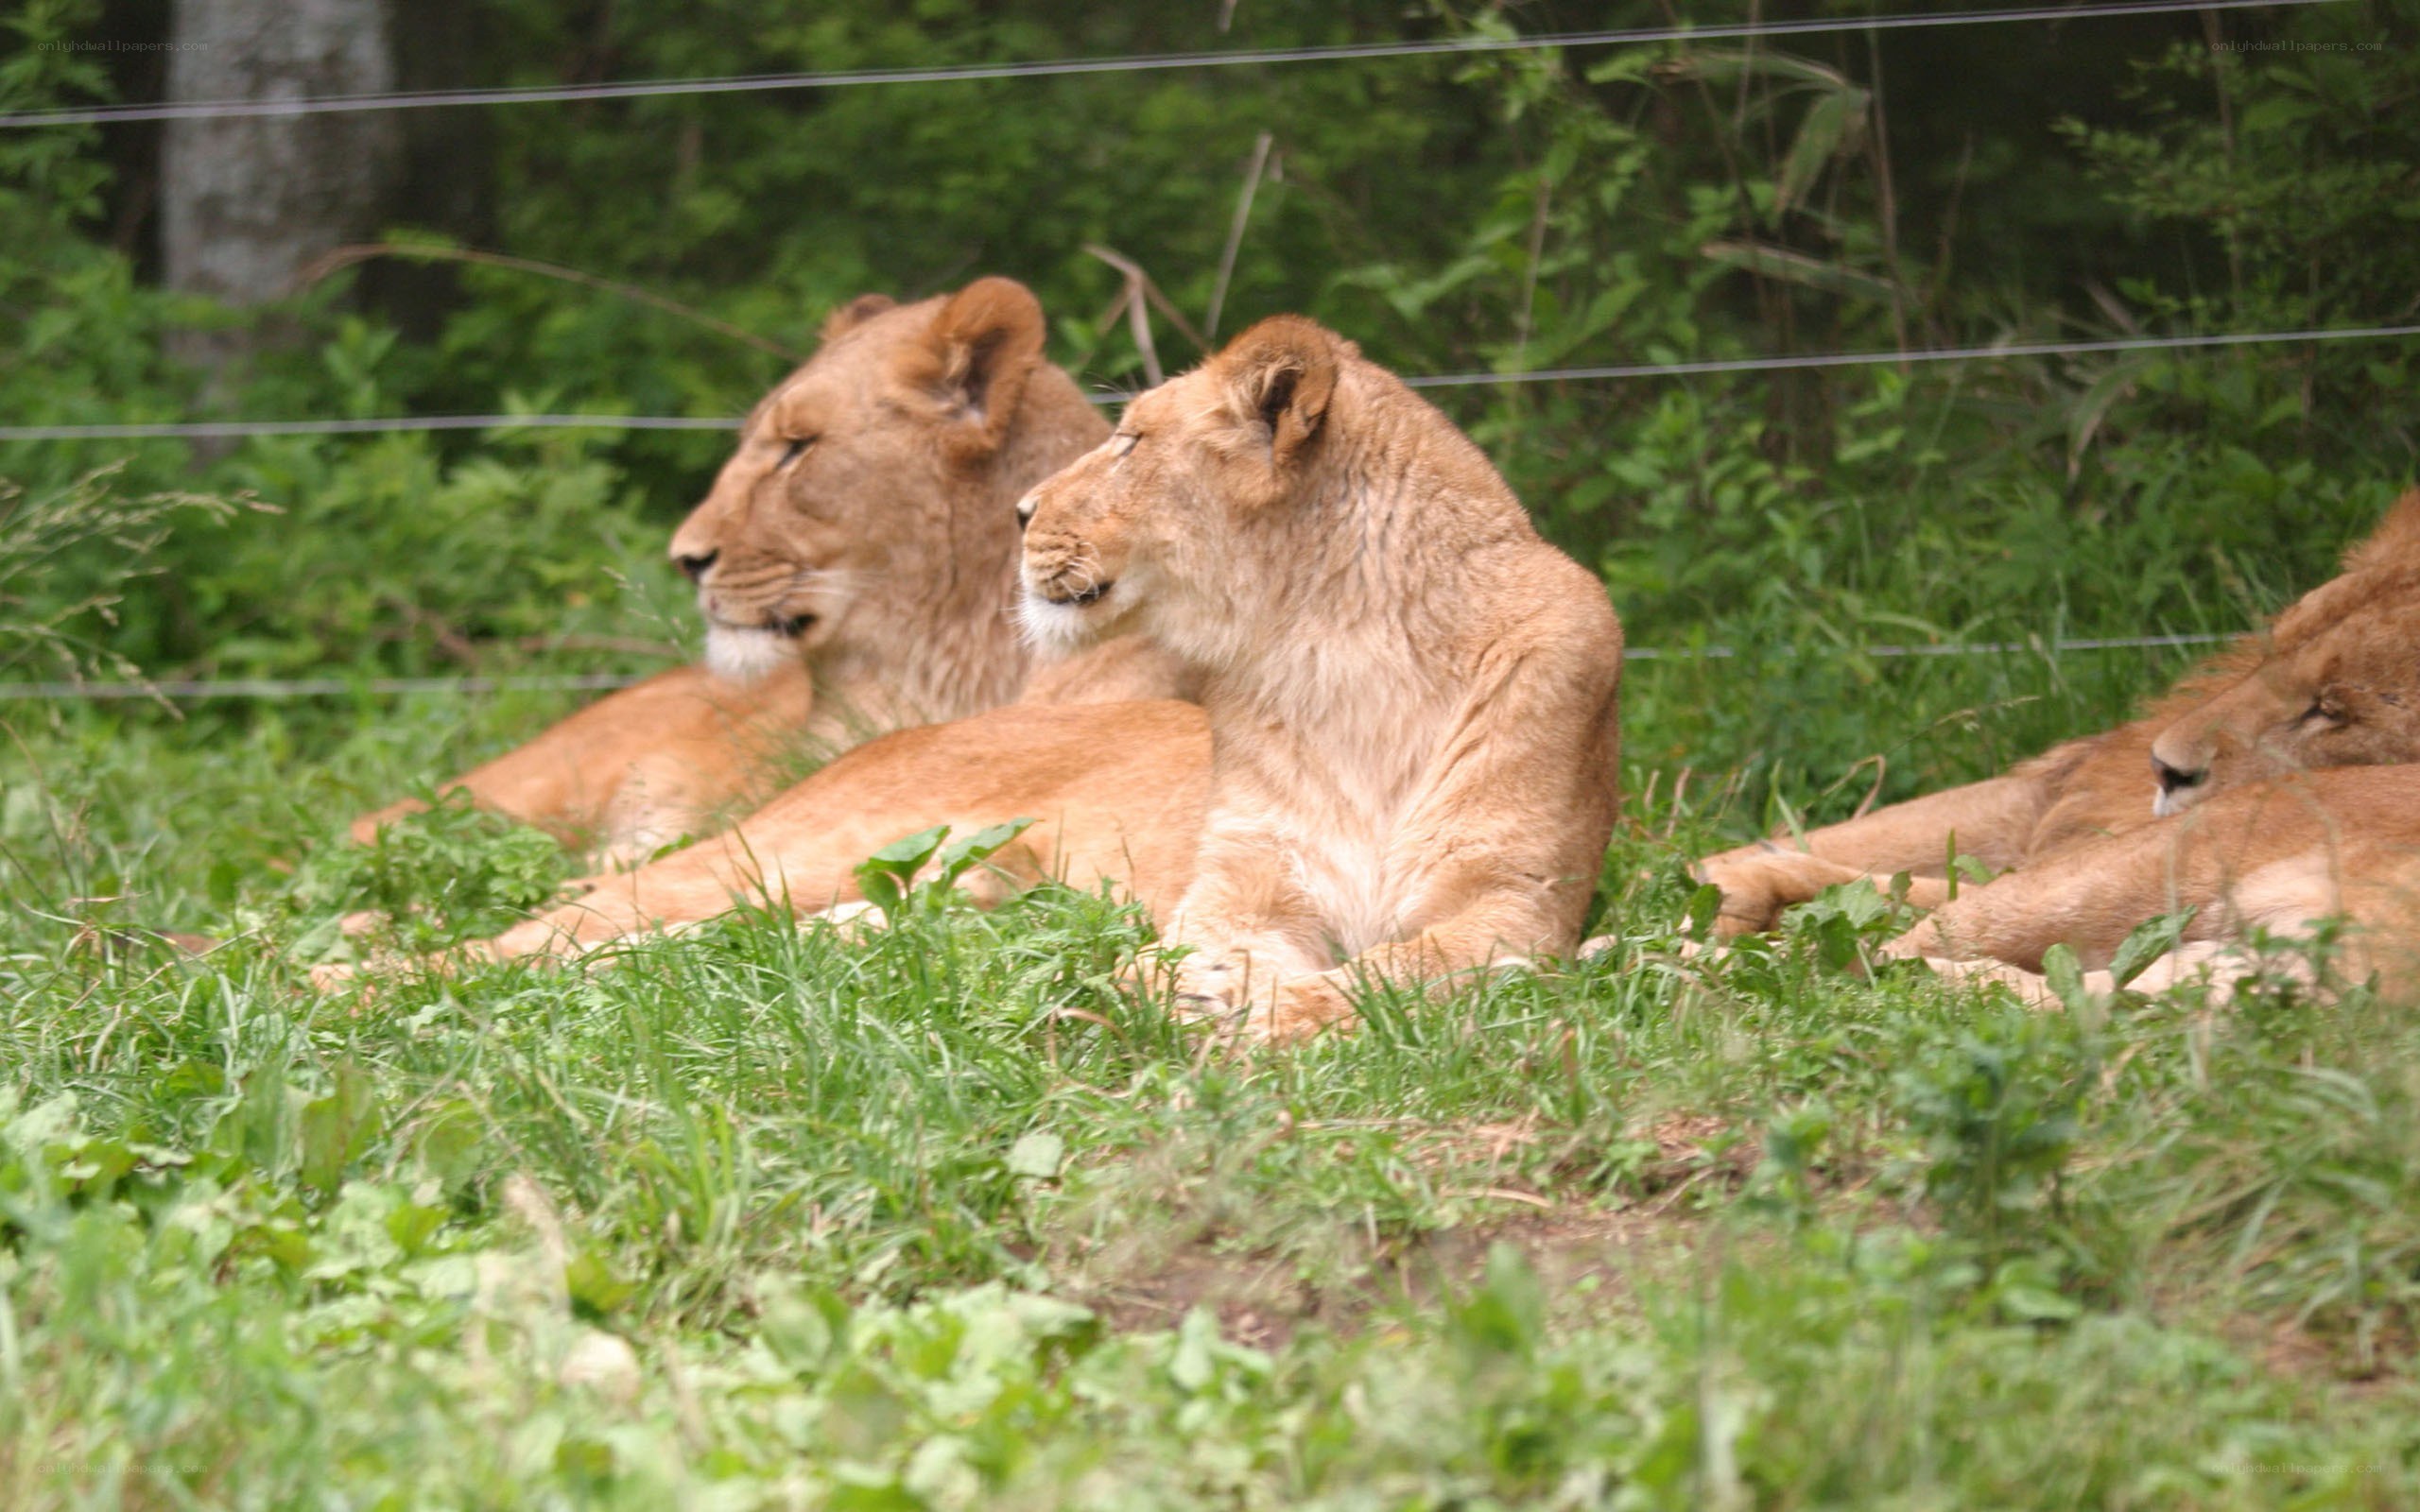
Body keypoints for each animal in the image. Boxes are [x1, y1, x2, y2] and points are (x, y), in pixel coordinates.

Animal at [413, 317, 1627, 1043]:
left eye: (1131, 443)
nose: (1020, 511)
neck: (1338, 658)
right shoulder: (1239, 886)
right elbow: (1230, 947)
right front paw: (1185, 987)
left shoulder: (1511, 908)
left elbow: (1397, 972)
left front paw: (1243, 1003)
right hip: (782, 851)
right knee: (530, 930)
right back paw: (375, 979)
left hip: (873, 899)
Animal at [1694, 486, 2420, 936]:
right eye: (2280, 644)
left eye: (2330, 711)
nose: (2163, 769)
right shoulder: (2049, 796)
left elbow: (1916, 886)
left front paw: (1737, 890)